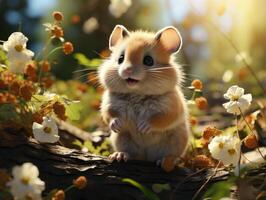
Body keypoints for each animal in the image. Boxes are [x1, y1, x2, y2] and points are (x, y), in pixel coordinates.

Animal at [99, 24, 189, 165]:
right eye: (120, 59)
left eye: (148, 60)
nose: (128, 70)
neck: (137, 93)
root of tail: (147, 158)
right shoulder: (108, 104)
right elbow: (109, 116)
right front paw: (117, 124)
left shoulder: (171, 108)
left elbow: (160, 119)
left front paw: (142, 127)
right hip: (122, 139)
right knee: (133, 154)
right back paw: (120, 155)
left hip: (176, 140)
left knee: (171, 156)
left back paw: (165, 161)